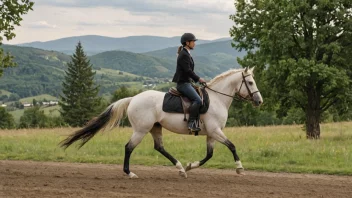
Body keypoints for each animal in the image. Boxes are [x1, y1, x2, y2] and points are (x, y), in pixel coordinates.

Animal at [60, 67, 262, 179]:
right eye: (251, 82)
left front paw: (190, 166)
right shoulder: (215, 131)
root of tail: (133, 98)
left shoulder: (212, 133)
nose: (259, 101)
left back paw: (181, 169)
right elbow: (232, 146)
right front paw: (240, 168)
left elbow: (209, 155)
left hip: (155, 128)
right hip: (141, 130)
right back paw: (129, 173)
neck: (217, 98)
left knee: (159, 148)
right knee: (129, 147)